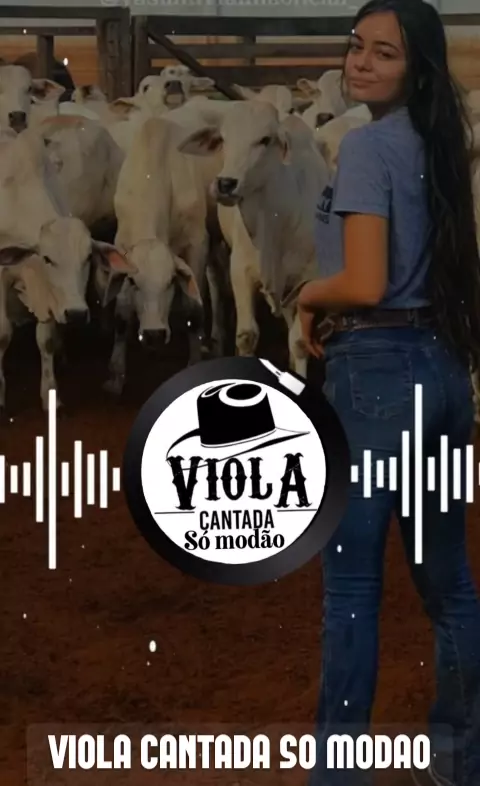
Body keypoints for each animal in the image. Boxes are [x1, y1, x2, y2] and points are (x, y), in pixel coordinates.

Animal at [177, 101, 330, 376]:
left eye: (265, 140)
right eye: (223, 139)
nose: (225, 184)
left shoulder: (305, 278)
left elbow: (299, 342)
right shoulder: (241, 270)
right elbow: (247, 336)